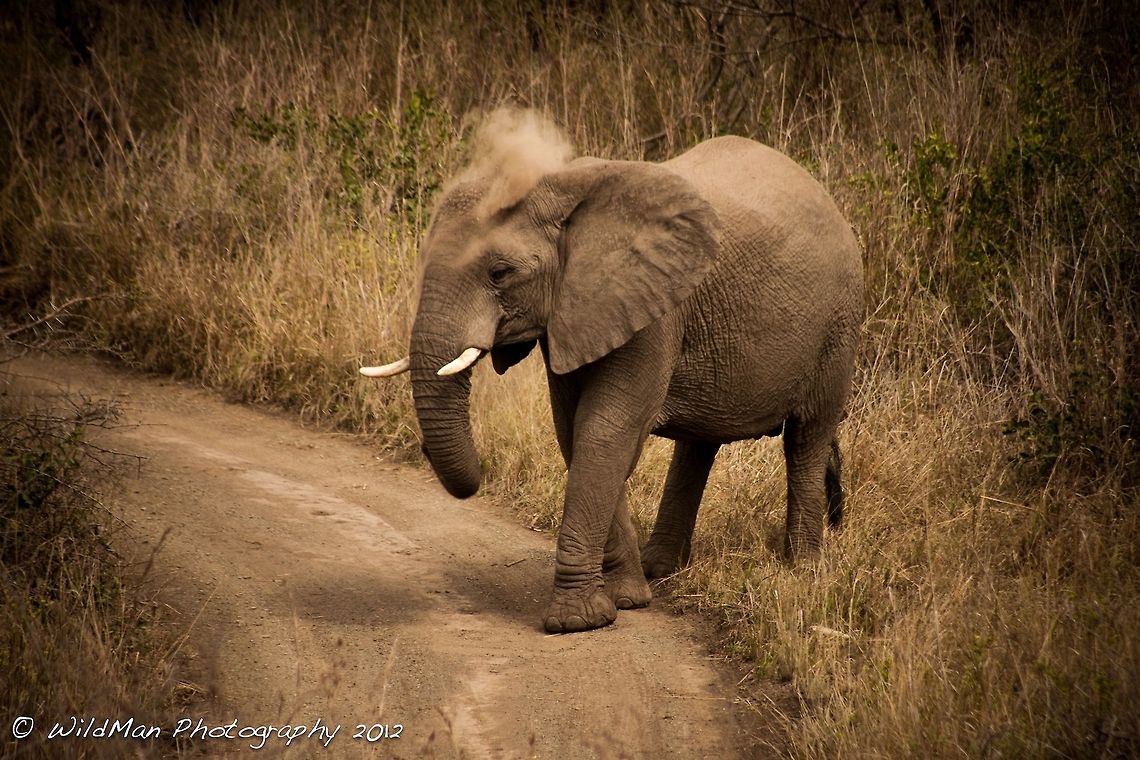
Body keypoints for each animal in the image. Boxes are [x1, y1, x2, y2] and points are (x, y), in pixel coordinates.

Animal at [361, 133, 863, 633]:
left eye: (500, 273)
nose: (425, 451)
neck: (563, 184)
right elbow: (576, 431)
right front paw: (625, 600)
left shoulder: (652, 310)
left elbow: (606, 430)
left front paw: (575, 623)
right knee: (699, 446)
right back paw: (660, 568)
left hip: (837, 329)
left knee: (807, 439)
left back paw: (802, 572)